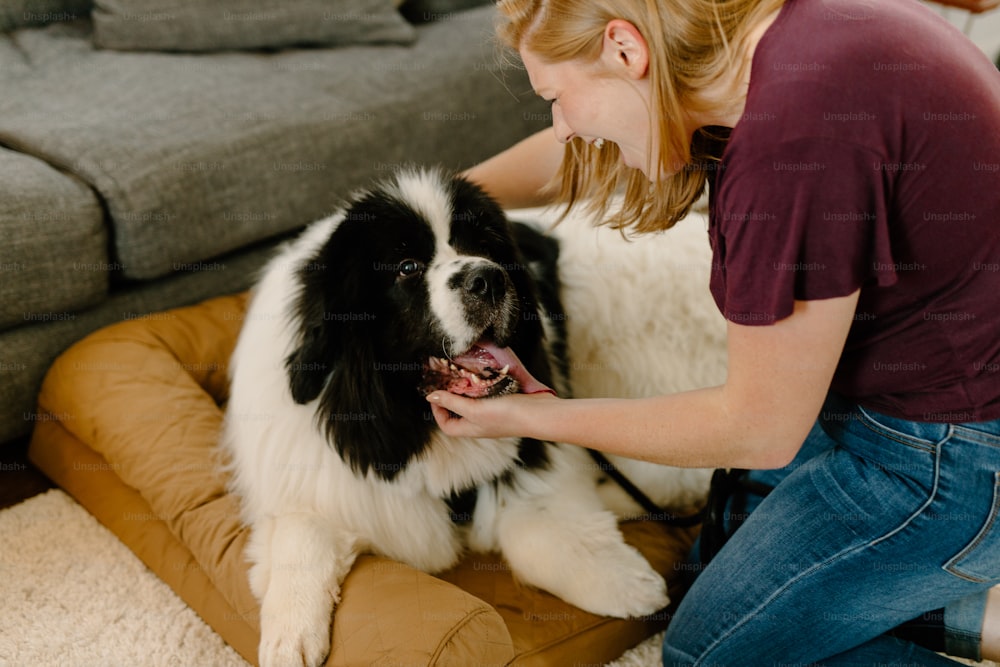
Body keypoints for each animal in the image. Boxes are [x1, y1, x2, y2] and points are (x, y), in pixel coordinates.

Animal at [223, 168, 668, 667]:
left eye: (486, 247)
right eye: (407, 267)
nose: (488, 279)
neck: (408, 420)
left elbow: (538, 530)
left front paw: (629, 584)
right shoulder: (318, 481)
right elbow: (303, 534)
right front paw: (290, 638)